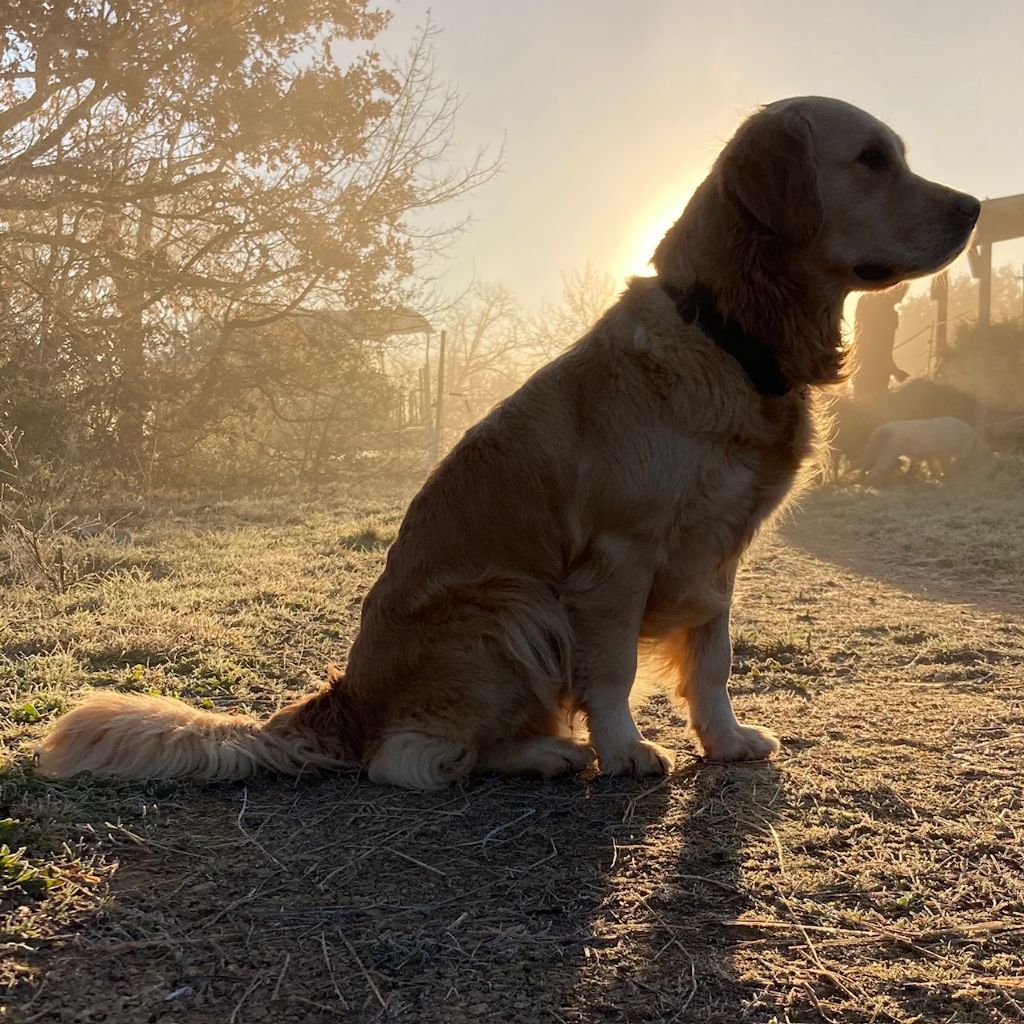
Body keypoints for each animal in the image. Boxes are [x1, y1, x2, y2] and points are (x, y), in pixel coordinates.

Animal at [39, 97, 978, 790]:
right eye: (872, 159)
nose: (974, 206)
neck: (727, 335)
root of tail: (347, 699)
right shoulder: (619, 553)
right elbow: (612, 671)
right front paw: (624, 748)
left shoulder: (720, 554)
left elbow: (711, 661)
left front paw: (726, 738)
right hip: (511, 604)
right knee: (412, 760)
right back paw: (552, 753)